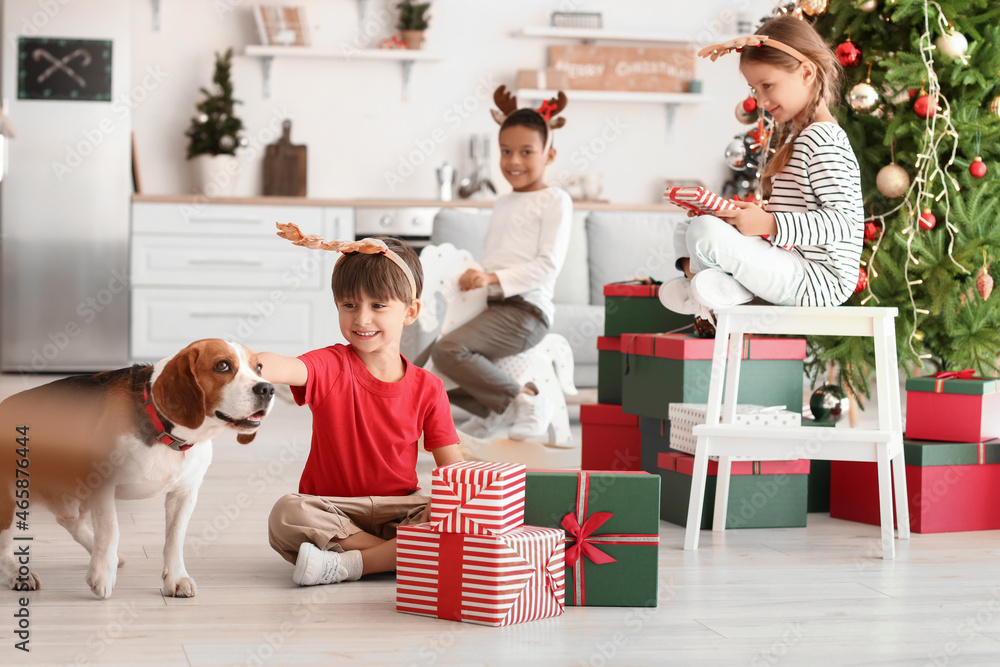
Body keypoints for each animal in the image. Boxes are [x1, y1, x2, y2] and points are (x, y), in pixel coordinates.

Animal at [0, 340, 274, 600]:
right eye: (222, 366)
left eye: (259, 367)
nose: (268, 389)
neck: (166, 432)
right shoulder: (103, 484)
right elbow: (111, 529)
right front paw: (102, 574)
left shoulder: (184, 493)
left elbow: (175, 539)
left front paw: (175, 578)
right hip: (11, 499)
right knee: (5, 544)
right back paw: (18, 574)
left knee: (69, 519)